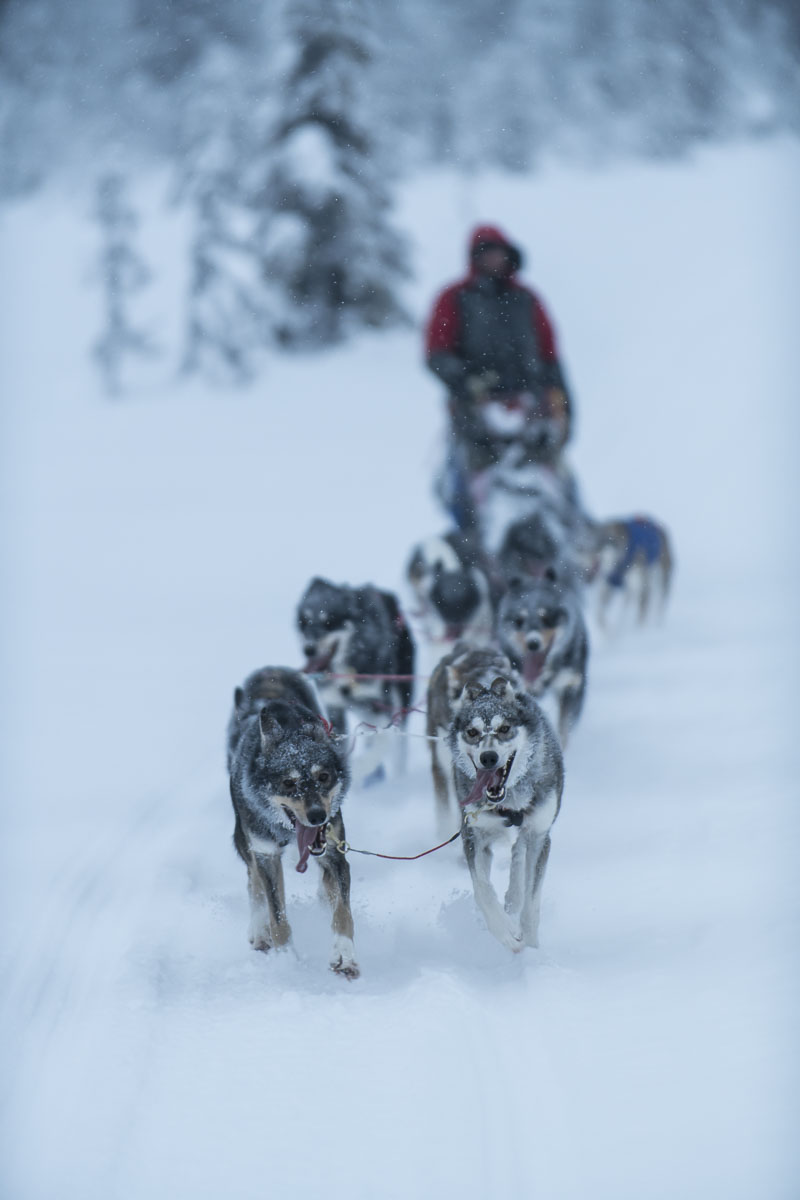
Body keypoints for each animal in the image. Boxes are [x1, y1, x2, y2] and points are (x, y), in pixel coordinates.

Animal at [227, 672, 359, 979]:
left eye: (323, 777)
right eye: (288, 783)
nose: (317, 816)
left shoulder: (335, 852)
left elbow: (343, 911)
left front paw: (344, 955)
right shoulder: (266, 853)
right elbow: (277, 916)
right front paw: (286, 960)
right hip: (245, 839)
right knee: (253, 881)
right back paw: (259, 929)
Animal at [448, 676, 566, 945]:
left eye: (504, 729)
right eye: (472, 732)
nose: (488, 757)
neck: (508, 803)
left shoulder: (539, 835)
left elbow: (531, 903)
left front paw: (531, 947)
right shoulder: (473, 835)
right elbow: (482, 890)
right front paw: (506, 932)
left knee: (519, 854)